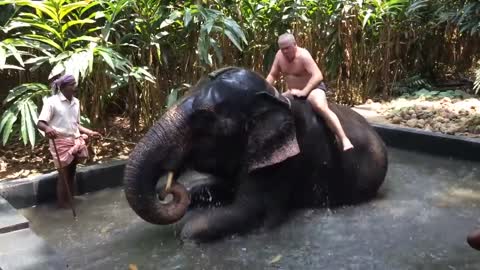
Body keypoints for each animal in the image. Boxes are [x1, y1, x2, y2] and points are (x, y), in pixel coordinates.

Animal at [124, 66, 390, 243]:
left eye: (205, 118)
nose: (164, 191)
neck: (274, 97)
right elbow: (211, 189)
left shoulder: (284, 160)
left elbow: (248, 211)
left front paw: (187, 235)